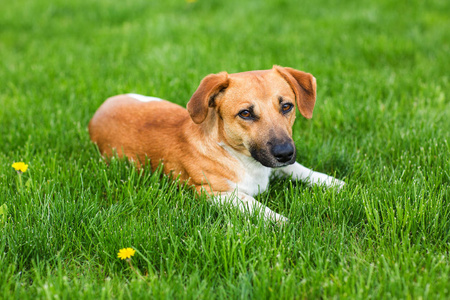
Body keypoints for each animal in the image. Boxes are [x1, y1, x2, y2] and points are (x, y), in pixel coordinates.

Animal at [89, 66, 346, 225]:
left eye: (287, 106)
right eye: (245, 113)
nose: (284, 153)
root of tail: (100, 109)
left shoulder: (277, 164)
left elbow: (300, 169)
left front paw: (334, 183)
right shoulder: (211, 192)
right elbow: (251, 202)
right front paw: (279, 220)